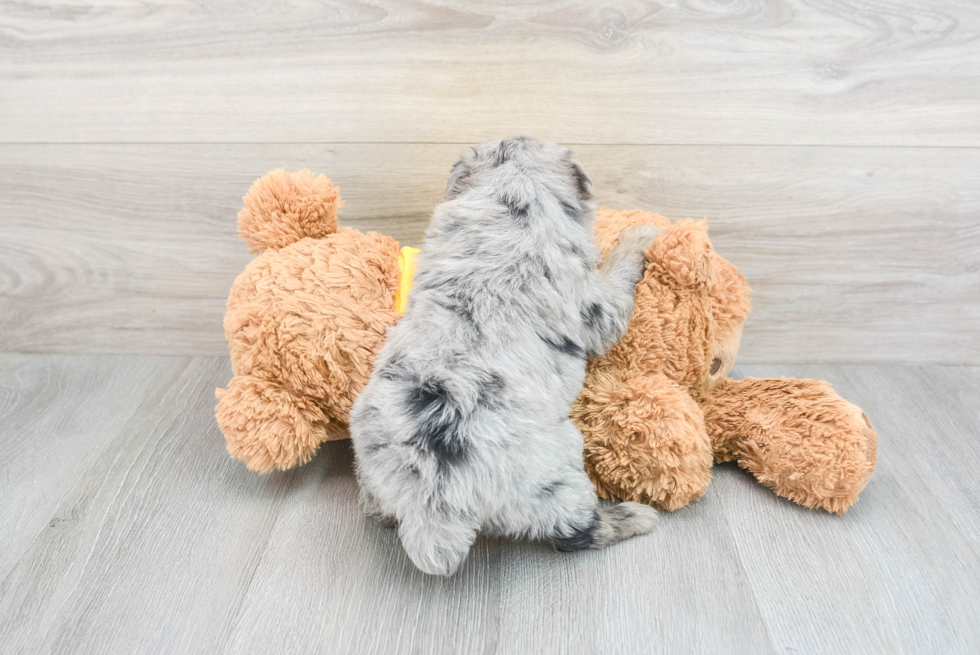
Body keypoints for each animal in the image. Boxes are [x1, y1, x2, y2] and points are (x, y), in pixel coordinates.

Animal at [348, 137, 664, 576]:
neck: (513, 192)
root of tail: (432, 500)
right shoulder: (595, 305)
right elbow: (616, 278)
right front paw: (640, 235)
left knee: (374, 506)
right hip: (558, 476)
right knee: (576, 534)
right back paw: (634, 517)